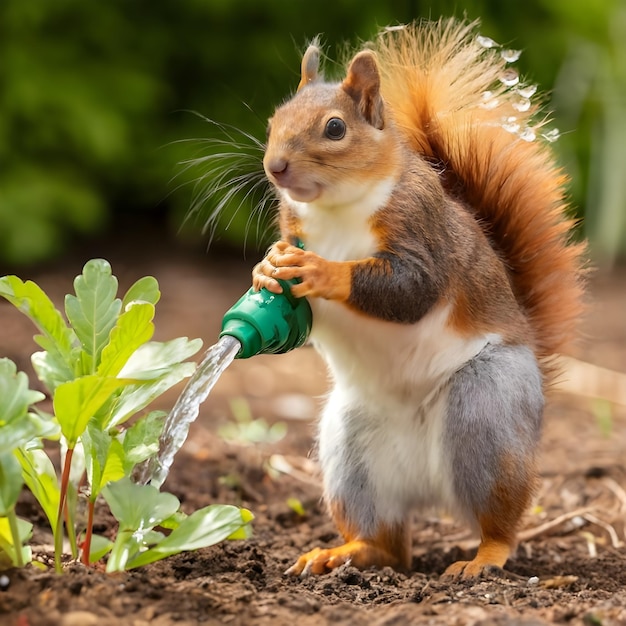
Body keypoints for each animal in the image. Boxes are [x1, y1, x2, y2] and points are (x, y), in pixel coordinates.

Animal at [249, 18, 584, 576]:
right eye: (274, 118)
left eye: (335, 128)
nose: (275, 167)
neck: (337, 209)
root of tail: (429, 491)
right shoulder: (292, 224)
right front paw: (267, 268)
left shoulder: (423, 231)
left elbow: (412, 291)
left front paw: (322, 271)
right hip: (351, 449)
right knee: (389, 543)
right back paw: (345, 551)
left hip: (487, 410)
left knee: (498, 516)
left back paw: (484, 557)